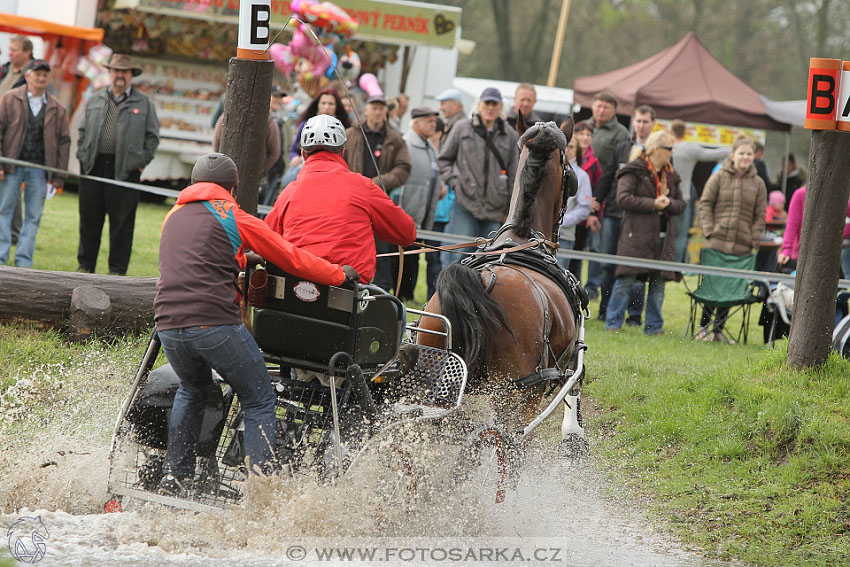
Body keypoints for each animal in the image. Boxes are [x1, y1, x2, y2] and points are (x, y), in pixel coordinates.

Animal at [418, 118, 584, 440]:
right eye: (570, 174)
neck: (521, 238)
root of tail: (483, 282)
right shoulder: (569, 367)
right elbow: (574, 404)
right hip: (516, 393)